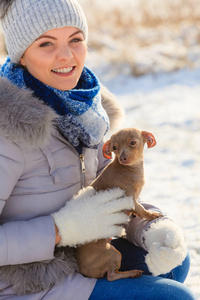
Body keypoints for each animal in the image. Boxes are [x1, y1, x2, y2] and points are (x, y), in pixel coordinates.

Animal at [76, 127, 162, 282]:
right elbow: (142, 210)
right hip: (113, 253)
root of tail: (84, 272)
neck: (130, 169)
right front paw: (153, 216)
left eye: (133, 143)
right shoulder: (130, 200)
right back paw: (132, 272)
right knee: (111, 275)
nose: (123, 158)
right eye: (114, 148)